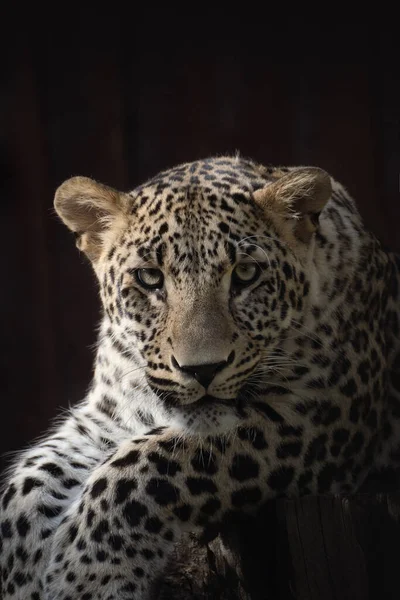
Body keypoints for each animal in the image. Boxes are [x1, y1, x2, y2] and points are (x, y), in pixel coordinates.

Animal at [0, 155, 400, 600]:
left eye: (246, 273)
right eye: (150, 278)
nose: (202, 369)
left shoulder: (313, 418)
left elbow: (141, 466)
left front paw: (89, 579)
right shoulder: (105, 418)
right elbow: (26, 488)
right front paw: (23, 581)